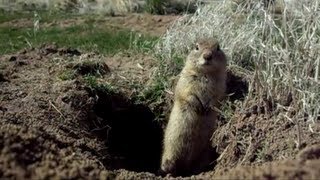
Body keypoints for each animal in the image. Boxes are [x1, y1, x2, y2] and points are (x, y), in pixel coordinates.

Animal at [160, 37, 228, 175]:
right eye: (196, 47)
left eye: (218, 47)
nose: (207, 56)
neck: (206, 73)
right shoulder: (186, 80)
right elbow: (188, 94)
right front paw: (199, 106)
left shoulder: (220, 85)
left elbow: (216, 98)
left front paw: (207, 107)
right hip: (172, 148)